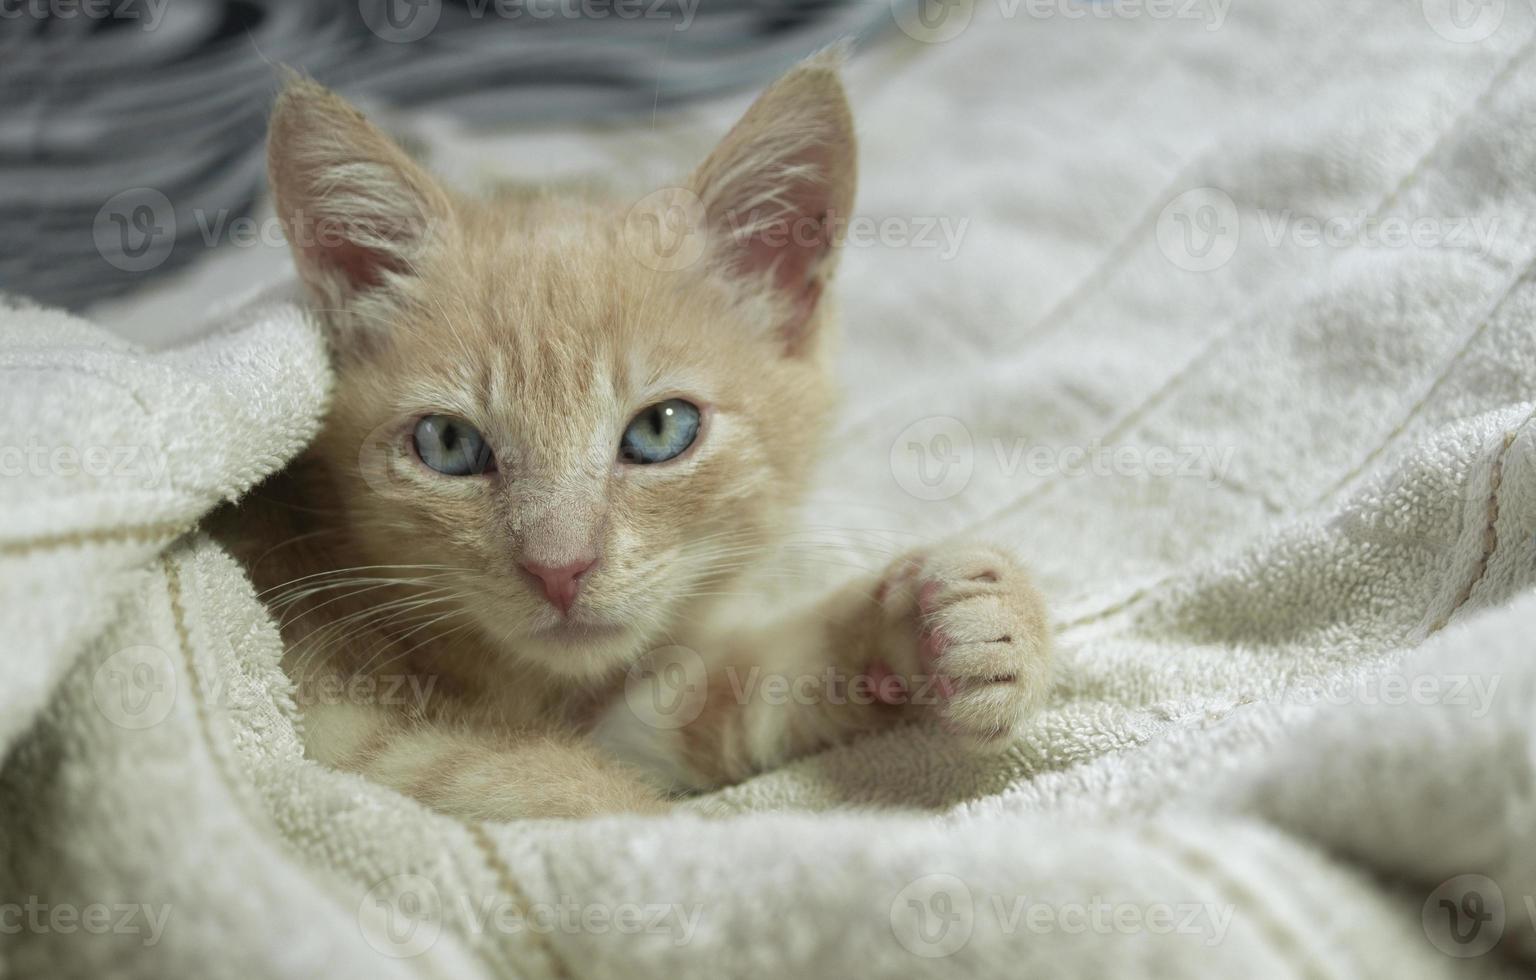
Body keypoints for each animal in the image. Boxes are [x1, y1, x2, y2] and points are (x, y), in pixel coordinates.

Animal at [219, 55, 1056, 823]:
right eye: (448, 444)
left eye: (661, 429)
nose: (559, 569)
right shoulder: (335, 725)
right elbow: (563, 794)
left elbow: (716, 695)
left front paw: (956, 622)